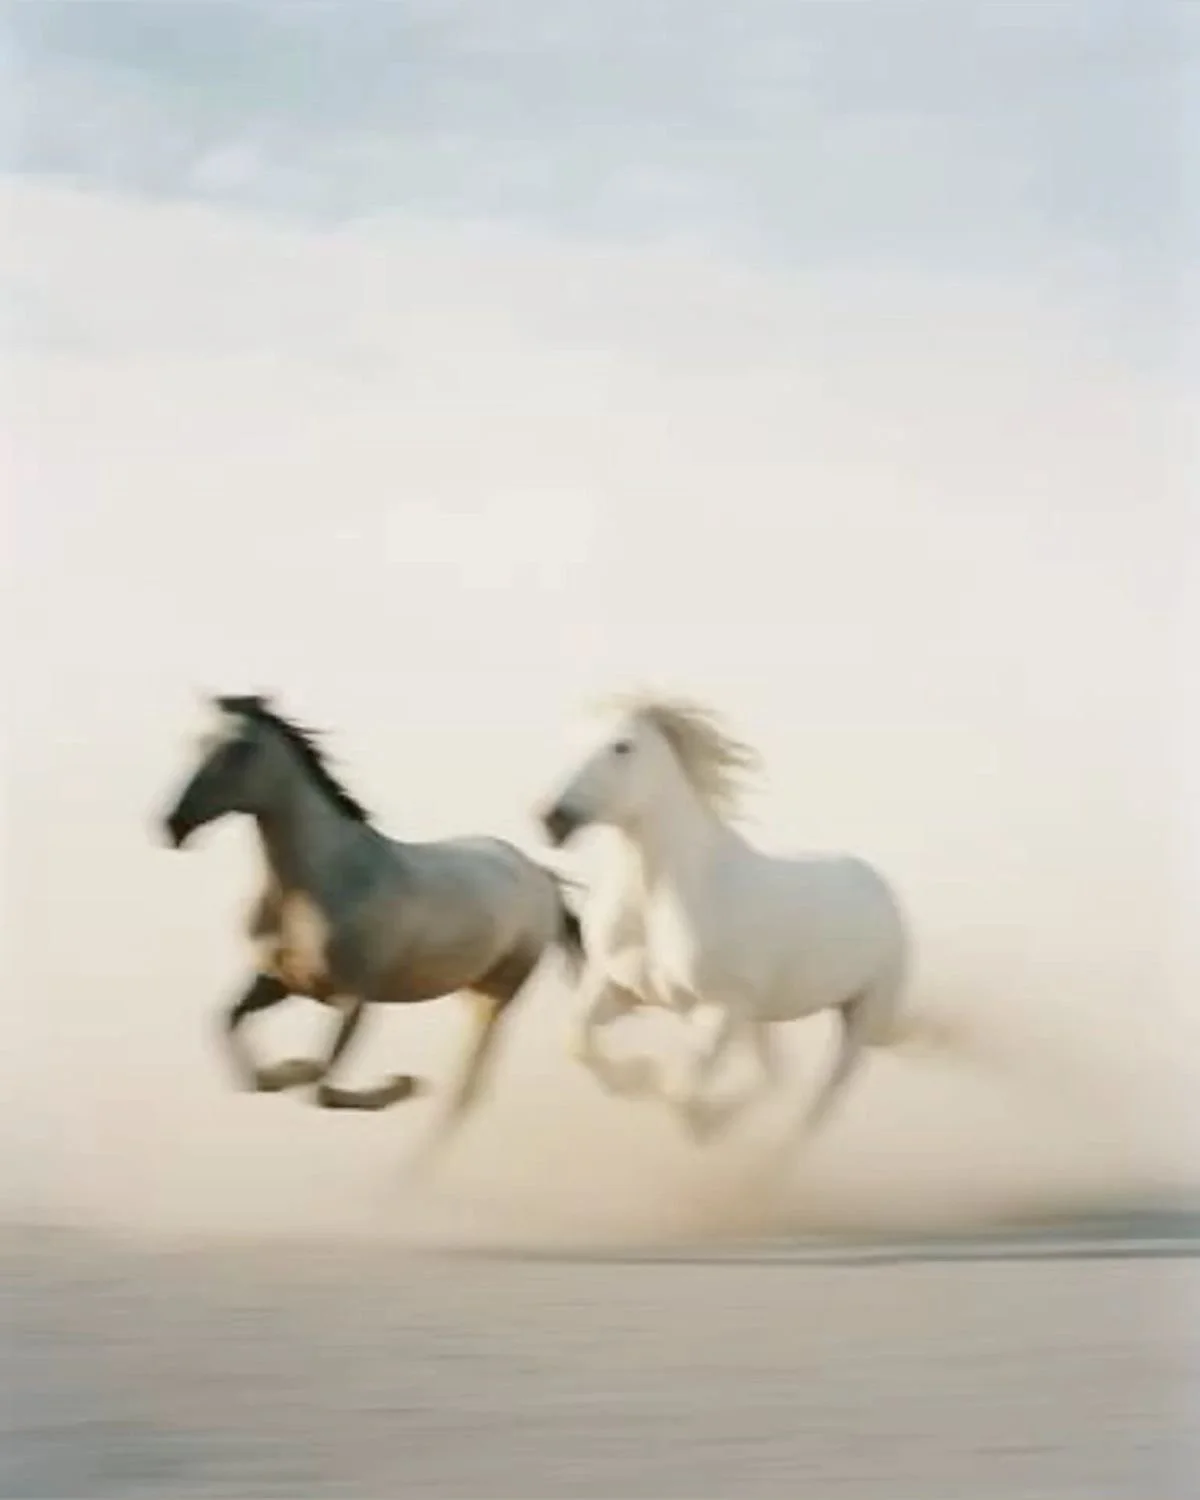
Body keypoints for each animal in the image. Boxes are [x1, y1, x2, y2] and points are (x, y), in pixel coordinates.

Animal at [161, 694, 583, 1145]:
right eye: (196, 741)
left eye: (241, 748)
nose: (173, 824)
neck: (319, 884)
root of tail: (540, 874)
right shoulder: (280, 982)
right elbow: (232, 1032)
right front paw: (280, 1074)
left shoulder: (354, 999)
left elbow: (321, 1087)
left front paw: (400, 1084)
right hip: (468, 987)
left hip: (497, 995)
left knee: (467, 1091)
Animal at [536, 694, 940, 1143]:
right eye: (570, 741)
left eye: (622, 746)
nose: (552, 819)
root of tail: (876, 884)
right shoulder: (626, 990)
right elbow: (578, 1041)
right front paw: (637, 1078)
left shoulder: (720, 1008)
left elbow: (680, 1091)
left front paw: (695, 1116)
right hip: (759, 1016)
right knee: (776, 1075)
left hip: (858, 1017)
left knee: (817, 1104)